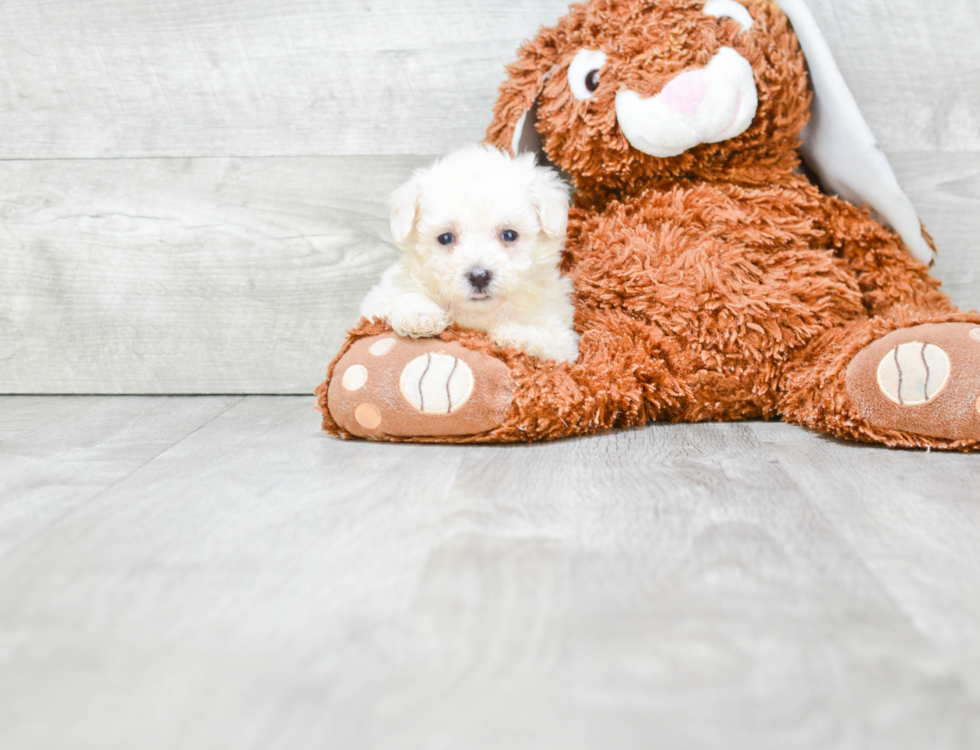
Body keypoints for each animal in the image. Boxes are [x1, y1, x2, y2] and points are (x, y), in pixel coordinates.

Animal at [366, 145, 580, 364]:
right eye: (445, 238)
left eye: (509, 235)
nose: (479, 276)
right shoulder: (379, 299)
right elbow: (402, 296)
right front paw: (419, 314)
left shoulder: (562, 337)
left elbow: (547, 340)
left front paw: (515, 334)